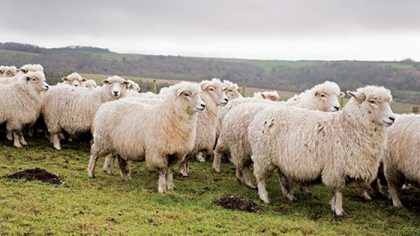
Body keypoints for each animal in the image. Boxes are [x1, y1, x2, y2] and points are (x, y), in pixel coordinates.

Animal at [213, 81, 344, 188]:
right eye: (323, 95)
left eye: (337, 96)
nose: (337, 107)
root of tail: (232, 105)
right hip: (233, 139)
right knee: (220, 150)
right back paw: (218, 168)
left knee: (240, 162)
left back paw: (242, 178)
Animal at [248, 85, 396, 216]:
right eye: (372, 101)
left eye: (388, 102)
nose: (392, 118)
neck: (347, 127)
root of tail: (261, 114)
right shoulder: (336, 168)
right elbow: (338, 190)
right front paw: (338, 210)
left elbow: (334, 192)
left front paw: (333, 205)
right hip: (262, 156)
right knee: (260, 178)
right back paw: (264, 197)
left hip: (279, 159)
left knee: (282, 177)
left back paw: (289, 196)